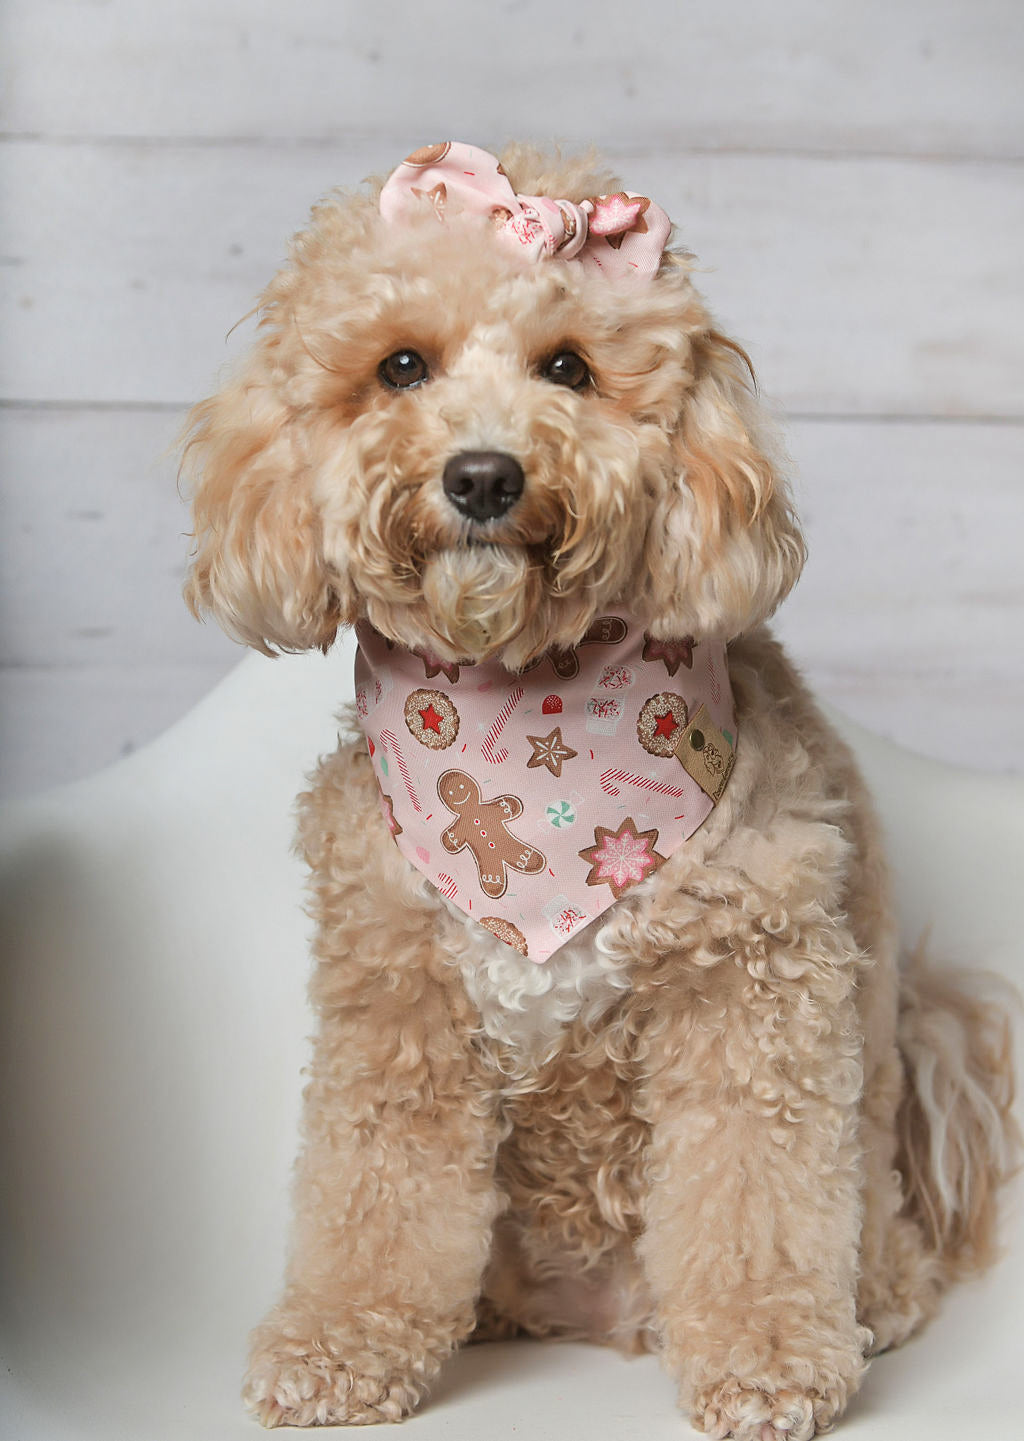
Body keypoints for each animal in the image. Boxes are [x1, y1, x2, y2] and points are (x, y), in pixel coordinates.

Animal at [180, 137, 1019, 1441]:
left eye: (567, 366)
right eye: (401, 366)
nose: (482, 475)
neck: (523, 729)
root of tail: (597, 1317)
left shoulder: (751, 989)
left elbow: (754, 1191)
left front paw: (766, 1356)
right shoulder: (396, 999)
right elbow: (373, 1192)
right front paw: (340, 1341)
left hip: (873, 1104)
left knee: (870, 1223)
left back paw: (865, 1300)